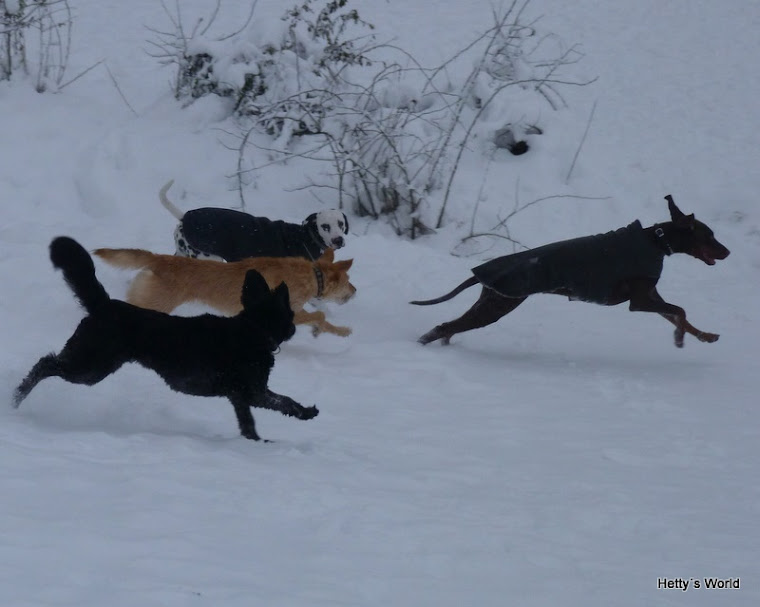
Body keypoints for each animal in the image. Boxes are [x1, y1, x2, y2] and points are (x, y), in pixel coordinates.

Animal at [14, 238, 318, 442]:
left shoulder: (239, 396)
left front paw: (257, 442)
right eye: (290, 314)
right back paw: (16, 398)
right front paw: (307, 411)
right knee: (45, 363)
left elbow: (248, 423)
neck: (252, 329)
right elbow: (284, 401)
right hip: (90, 366)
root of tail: (104, 305)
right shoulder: (254, 392)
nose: (294, 328)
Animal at [93, 247, 354, 338]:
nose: (356, 290)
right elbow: (320, 315)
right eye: (349, 281)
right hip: (155, 302)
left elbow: (323, 320)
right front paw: (324, 328)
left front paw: (339, 331)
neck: (312, 274)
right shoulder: (288, 312)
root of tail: (160, 259)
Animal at [162, 179, 352, 262]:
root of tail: (185, 217)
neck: (305, 238)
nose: (338, 240)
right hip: (208, 258)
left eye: (341, 224)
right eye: (325, 226)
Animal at [416, 195, 732, 346]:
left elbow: (679, 316)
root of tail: (482, 271)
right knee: (445, 326)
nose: (728, 252)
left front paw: (703, 336)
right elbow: (680, 311)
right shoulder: (639, 302)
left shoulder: (651, 298)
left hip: (490, 302)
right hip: (498, 304)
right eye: (709, 235)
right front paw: (680, 339)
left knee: (449, 326)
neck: (657, 241)